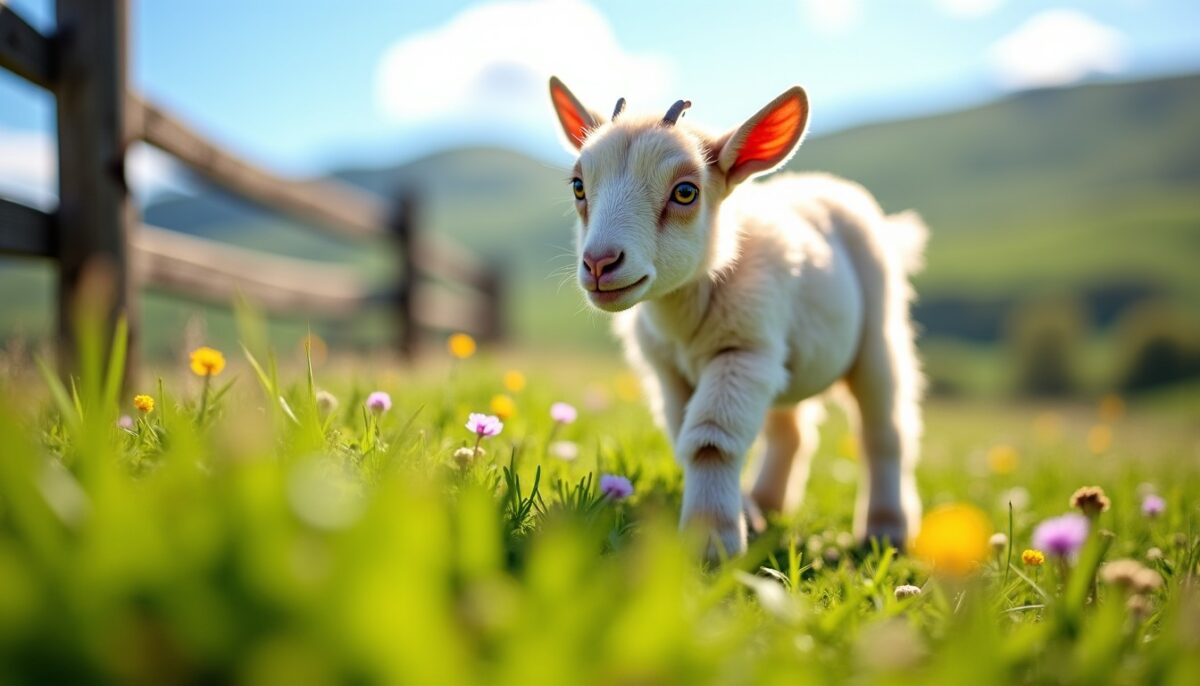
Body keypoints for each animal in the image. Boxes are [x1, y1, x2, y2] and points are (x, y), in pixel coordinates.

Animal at [549, 77, 927, 557]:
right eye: (579, 186)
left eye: (686, 192)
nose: (599, 263)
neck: (685, 318)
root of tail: (830, 186)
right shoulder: (669, 370)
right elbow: (684, 435)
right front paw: (742, 517)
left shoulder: (741, 351)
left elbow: (711, 439)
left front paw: (711, 542)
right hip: (786, 357)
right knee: (792, 431)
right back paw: (769, 504)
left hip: (878, 332)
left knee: (884, 431)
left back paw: (886, 530)